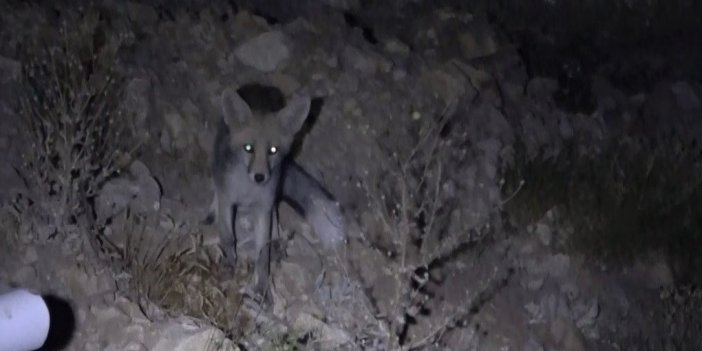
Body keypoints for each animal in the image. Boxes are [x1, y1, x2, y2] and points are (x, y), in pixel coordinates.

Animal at [208, 84, 348, 302]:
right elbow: (228, 238)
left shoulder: (263, 209)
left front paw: (261, 287)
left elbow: (262, 255)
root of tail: (259, 86)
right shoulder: (227, 200)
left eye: (273, 150)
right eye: (248, 148)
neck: (248, 191)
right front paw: (229, 265)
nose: (260, 177)